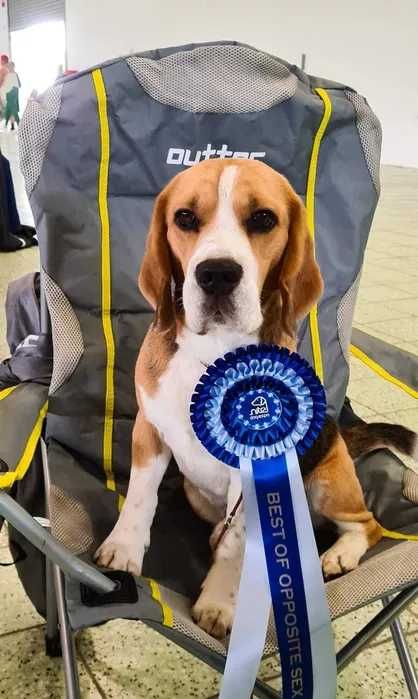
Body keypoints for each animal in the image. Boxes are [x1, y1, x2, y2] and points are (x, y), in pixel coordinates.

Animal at [95, 159, 418, 640]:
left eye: (264, 219)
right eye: (184, 217)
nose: (217, 274)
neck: (214, 351)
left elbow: (236, 542)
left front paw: (220, 600)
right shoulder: (149, 429)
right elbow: (139, 495)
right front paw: (124, 545)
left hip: (329, 485)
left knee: (369, 525)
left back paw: (339, 554)